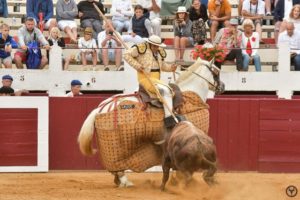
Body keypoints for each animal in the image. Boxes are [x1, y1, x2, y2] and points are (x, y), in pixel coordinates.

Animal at [78, 57, 224, 188]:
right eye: (216, 72)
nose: (222, 86)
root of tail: (100, 108)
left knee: (115, 167)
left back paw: (119, 181)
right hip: (116, 146)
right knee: (117, 165)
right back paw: (125, 182)